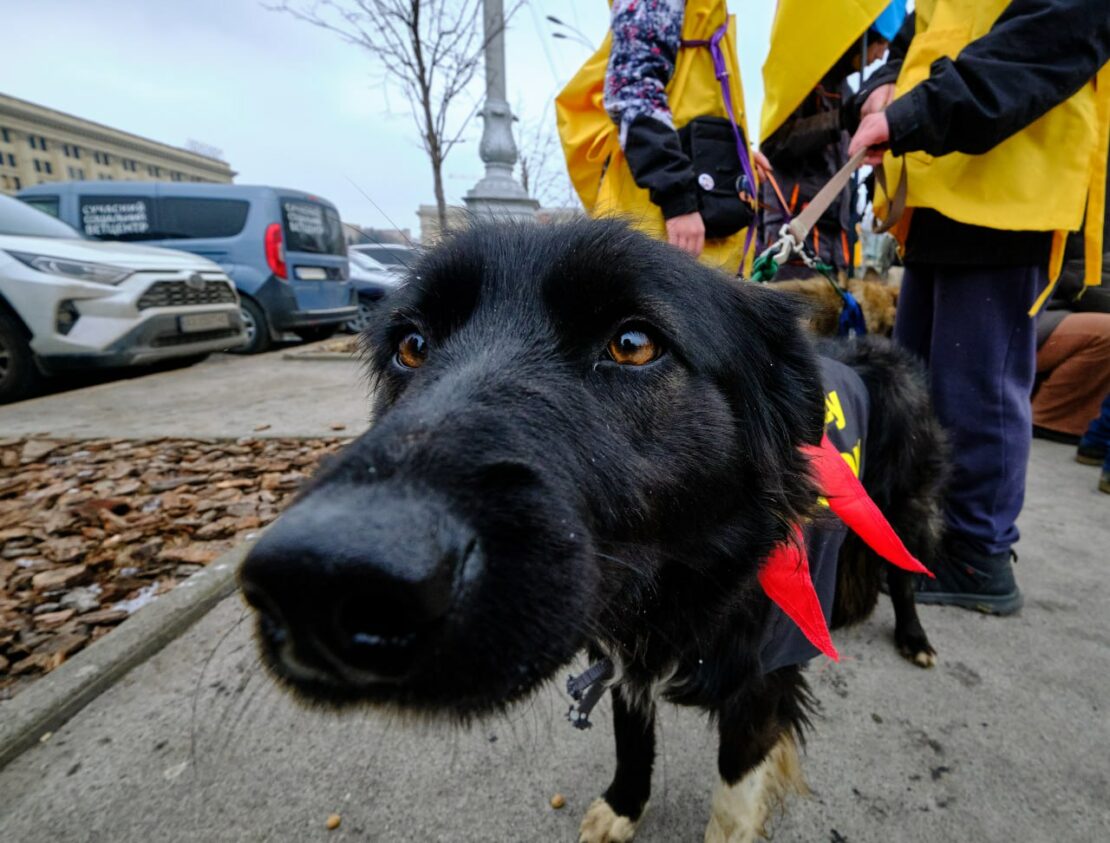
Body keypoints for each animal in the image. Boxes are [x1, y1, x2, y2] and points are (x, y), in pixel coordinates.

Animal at [240, 221, 945, 839]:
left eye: (633, 344)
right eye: (410, 347)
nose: (318, 580)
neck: (689, 588)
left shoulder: (760, 686)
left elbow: (733, 794)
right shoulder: (620, 661)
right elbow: (632, 744)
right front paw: (622, 808)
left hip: (904, 510)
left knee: (903, 577)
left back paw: (914, 638)